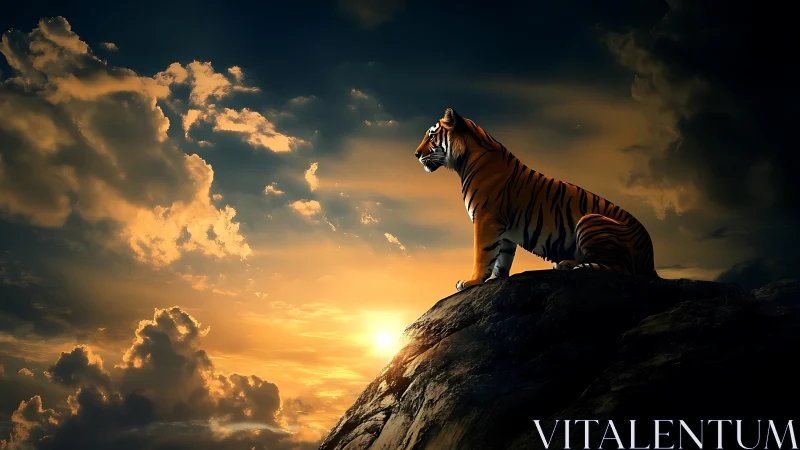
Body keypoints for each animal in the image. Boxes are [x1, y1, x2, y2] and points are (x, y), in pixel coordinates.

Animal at [414, 108, 658, 292]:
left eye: (432, 136)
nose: (416, 154)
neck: (464, 161)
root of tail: (651, 256)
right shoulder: (504, 229)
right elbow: (502, 258)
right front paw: (497, 278)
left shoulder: (486, 219)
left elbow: (482, 253)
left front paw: (471, 281)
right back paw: (566, 264)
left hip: (589, 220)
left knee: (622, 270)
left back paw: (572, 266)